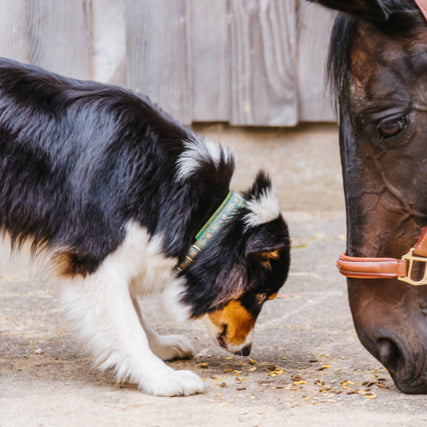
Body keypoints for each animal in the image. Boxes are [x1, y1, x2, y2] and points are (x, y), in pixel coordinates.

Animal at [0, 58, 290, 396]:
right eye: (261, 295)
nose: (246, 350)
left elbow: (135, 312)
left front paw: (161, 347)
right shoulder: (94, 257)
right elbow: (126, 322)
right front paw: (162, 378)